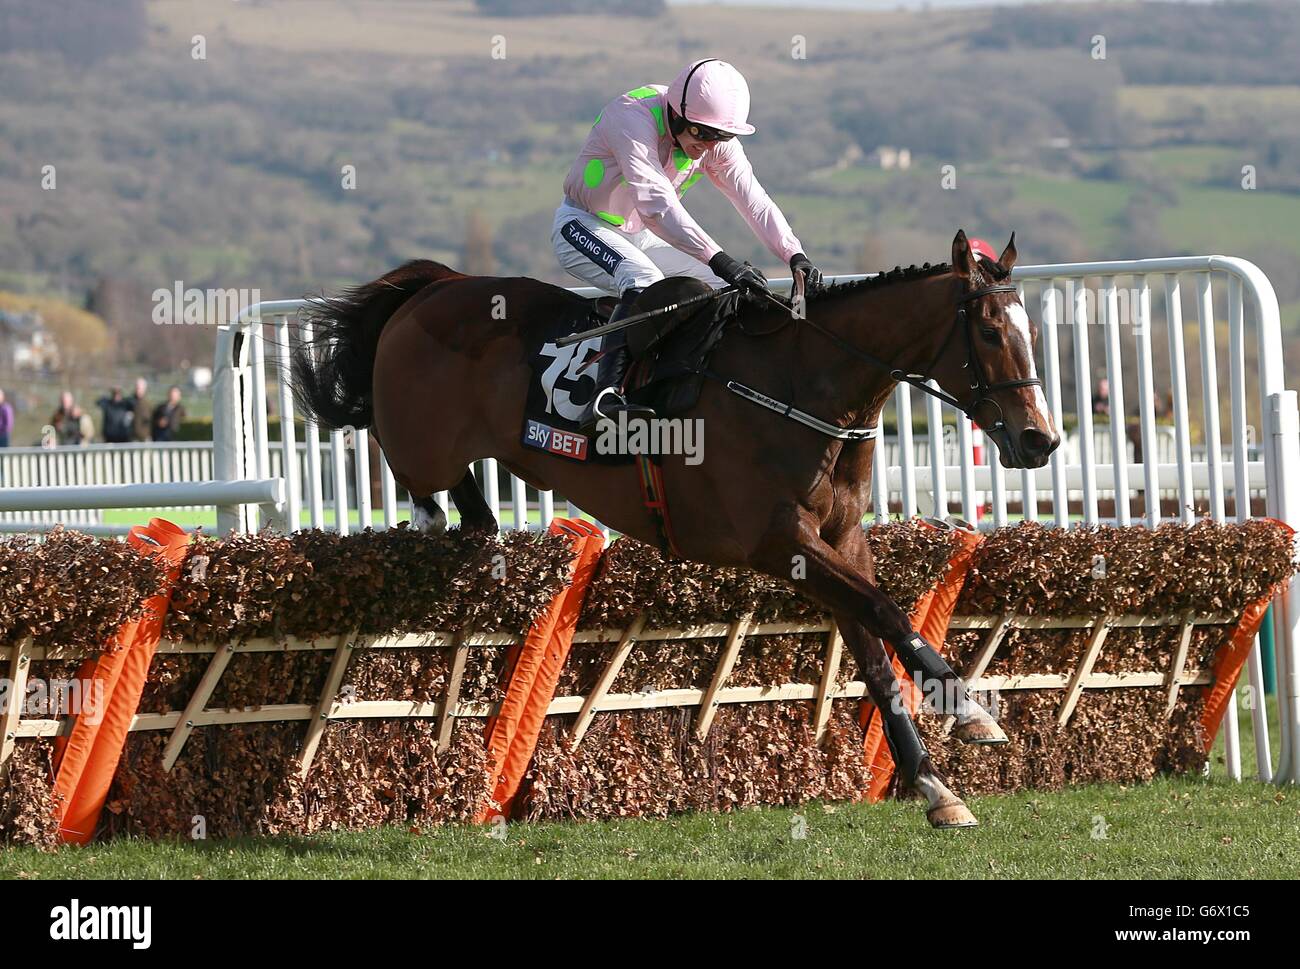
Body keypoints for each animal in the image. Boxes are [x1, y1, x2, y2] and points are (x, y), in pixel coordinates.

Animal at [292, 230, 1055, 827]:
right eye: (991, 332)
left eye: (1031, 334)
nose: (1039, 440)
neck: (804, 386)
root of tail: (434, 286)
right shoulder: (778, 542)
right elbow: (886, 610)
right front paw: (971, 712)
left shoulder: (841, 543)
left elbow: (873, 648)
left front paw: (934, 786)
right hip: (424, 443)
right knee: (411, 471)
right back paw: (428, 519)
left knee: (474, 515)